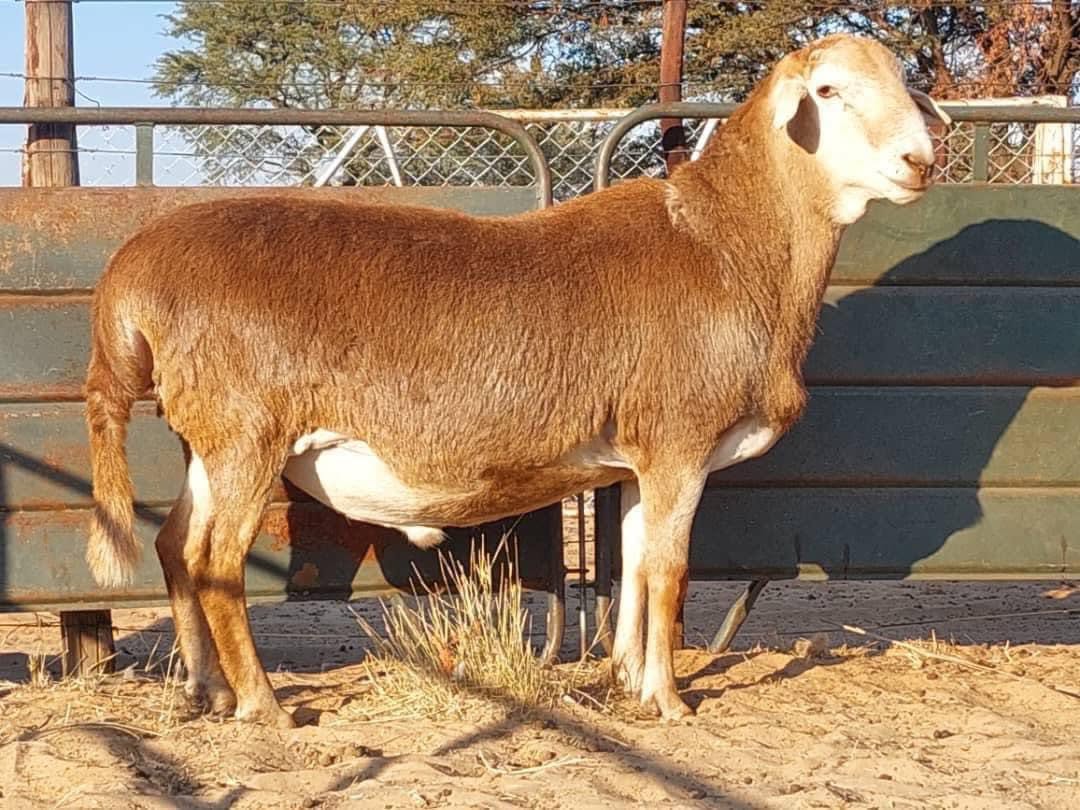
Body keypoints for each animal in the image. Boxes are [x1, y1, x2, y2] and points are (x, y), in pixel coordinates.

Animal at [84, 33, 949, 727]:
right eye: (829, 91)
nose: (921, 161)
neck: (728, 244)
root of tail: (132, 273)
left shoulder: (638, 457)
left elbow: (635, 563)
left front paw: (626, 681)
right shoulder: (679, 441)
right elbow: (668, 572)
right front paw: (671, 702)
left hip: (207, 436)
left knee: (173, 545)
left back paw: (204, 691)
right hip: (247, 432)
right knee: (216, 563)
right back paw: (263, 705)